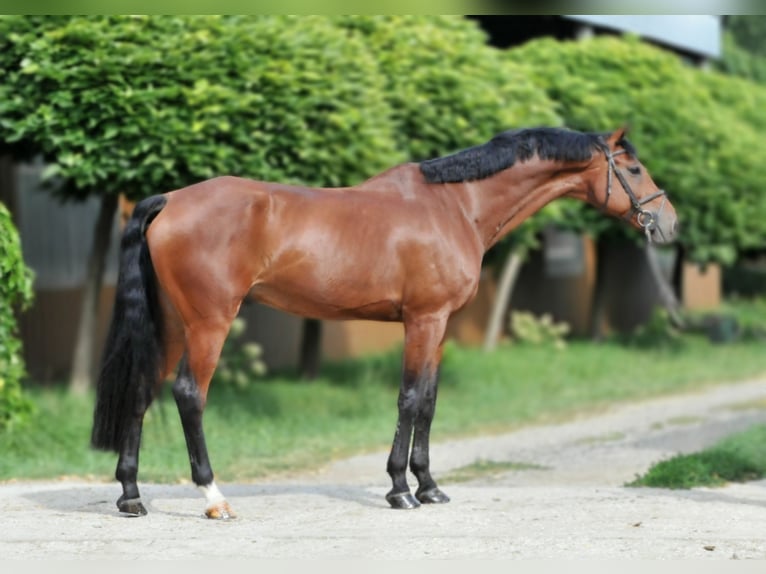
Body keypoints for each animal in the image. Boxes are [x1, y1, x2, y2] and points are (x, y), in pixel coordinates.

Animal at [91, 126, 678, 519]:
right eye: (632, 169)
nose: (668, 222)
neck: (454, 206)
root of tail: (170, 201)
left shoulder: (439, 326)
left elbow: (431, 402)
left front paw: (430, 485)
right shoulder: (423, 320)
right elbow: (410, 398)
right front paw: (400, 490)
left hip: (172, 324)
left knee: (141, 390)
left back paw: (131, 496)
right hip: (209, 324)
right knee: (189, 394)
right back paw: (214, 498)